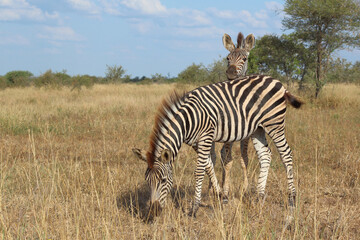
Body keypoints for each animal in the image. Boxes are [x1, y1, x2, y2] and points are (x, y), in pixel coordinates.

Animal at [132, 74, 300, 217]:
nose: (153, 212)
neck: (188, 121)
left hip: (274, 124)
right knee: (266, 155)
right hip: (258, 129)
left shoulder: (206, 137)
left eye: (163, 180)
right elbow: (209, 166)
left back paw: (292, 199)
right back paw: (260, 196)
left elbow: (199, 171)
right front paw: (221, 196)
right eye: (147, 181)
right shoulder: (196, 142)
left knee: (286, 154)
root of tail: (277, 82)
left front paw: (194, 208)